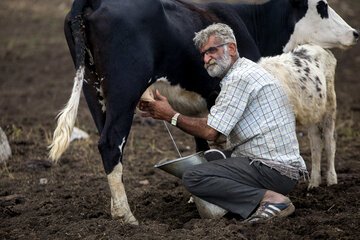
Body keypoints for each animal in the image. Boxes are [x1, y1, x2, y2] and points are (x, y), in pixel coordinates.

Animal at [50, 0, 358, 225]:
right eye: (322, 6)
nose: (355, 33)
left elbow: (201, 144)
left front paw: (193, 196)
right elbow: (223, 142)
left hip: (93, 90)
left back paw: (116, 211)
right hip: (124, 89)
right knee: (111, 143)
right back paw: (126, 216)